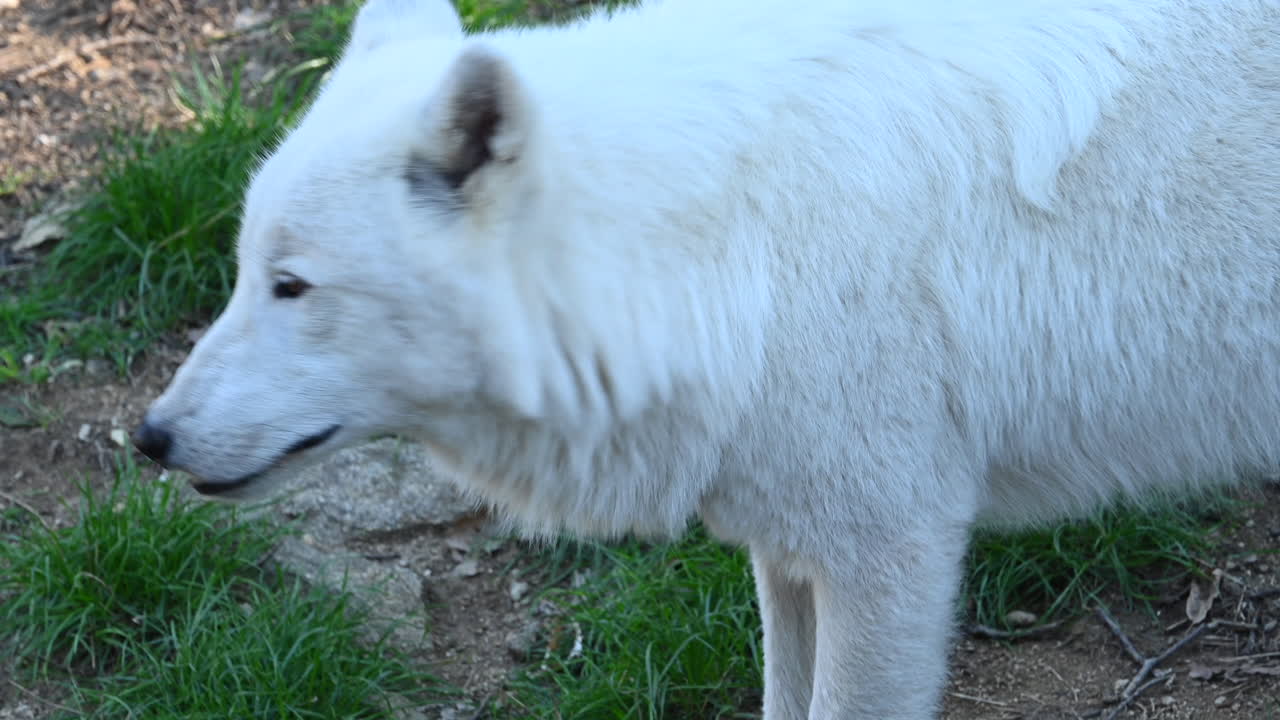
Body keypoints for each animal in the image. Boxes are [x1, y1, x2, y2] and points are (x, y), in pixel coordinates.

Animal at [133, 0, 1280, 717]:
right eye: (242, 271)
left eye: (292, 286)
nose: (149, 438)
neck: (723, 246)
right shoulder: (795, 546)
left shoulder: (891, 555)